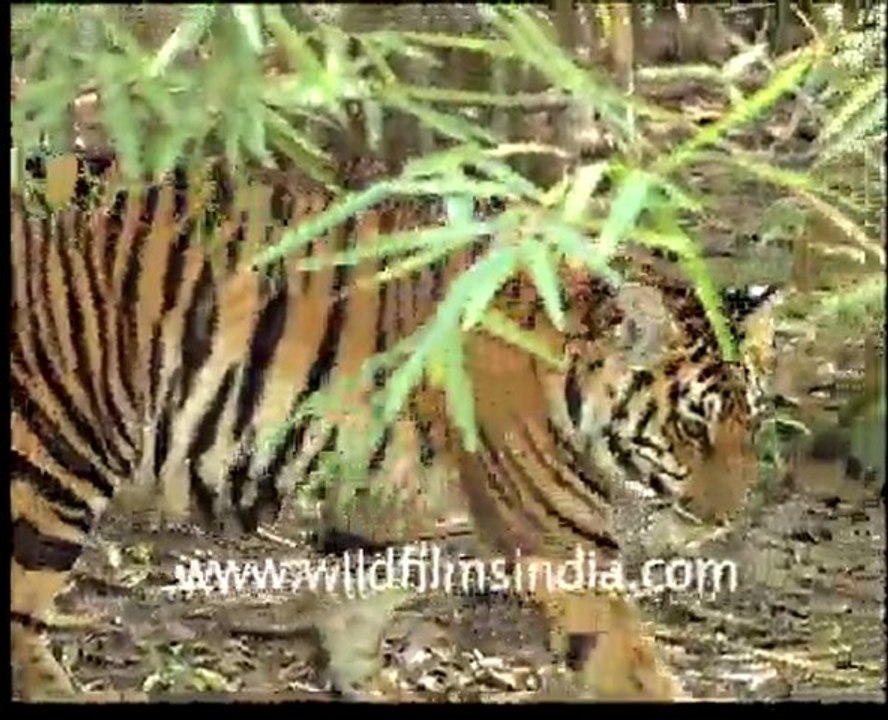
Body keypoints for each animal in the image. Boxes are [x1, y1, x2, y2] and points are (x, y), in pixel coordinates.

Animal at [10, 152, 780, 702]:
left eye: (751, 425)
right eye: (692, 427)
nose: (727, 516)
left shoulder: (378, 495)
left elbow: (356, 597)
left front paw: (362, 683)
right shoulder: (558, 539)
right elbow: (629, 661)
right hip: (57, 448)